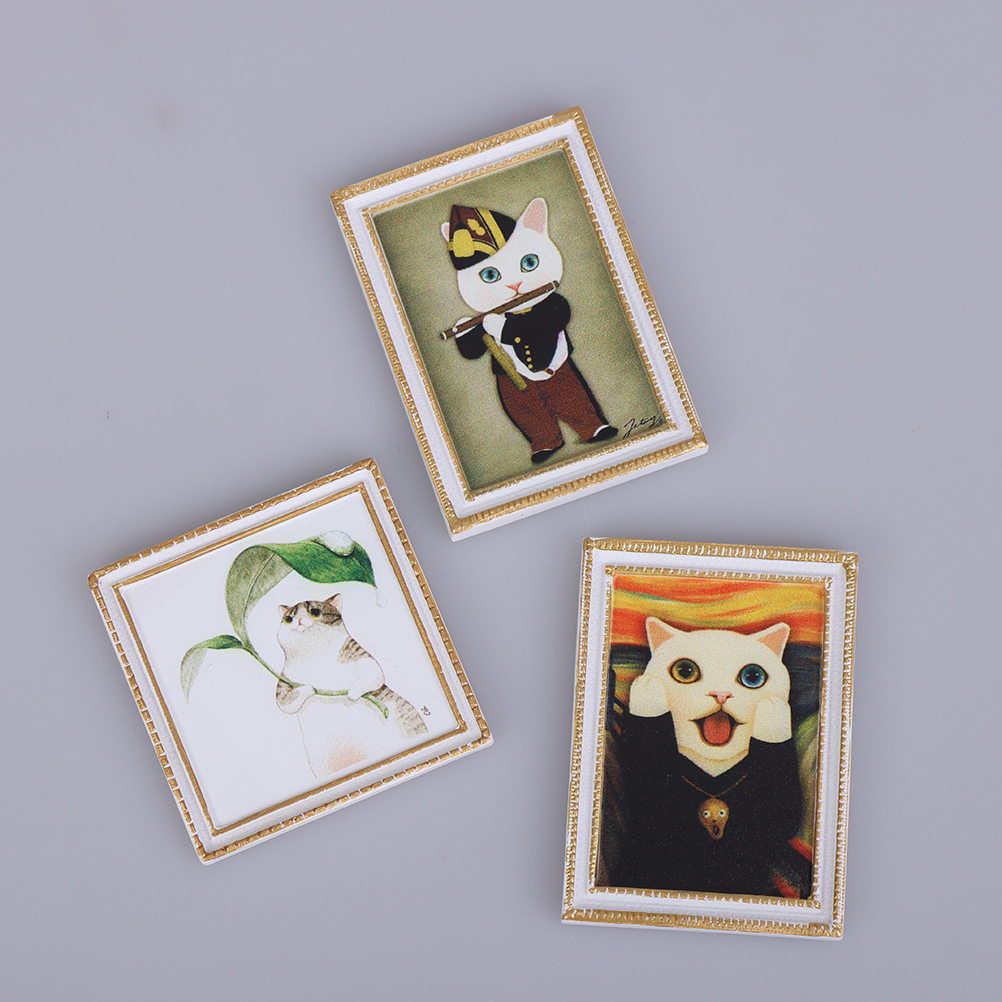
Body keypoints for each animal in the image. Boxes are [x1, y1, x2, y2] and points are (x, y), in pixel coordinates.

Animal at [274, 594, 427, 780]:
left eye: (315, 612)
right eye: (289, 619)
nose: (299, 621)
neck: (314, 655)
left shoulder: (365, 661)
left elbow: (373, 675)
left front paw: (352, 694)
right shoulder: (284, 684)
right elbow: (285, 703)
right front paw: (310, 688)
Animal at [443, 198, 617, 463]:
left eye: (529, 263)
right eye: (490, 275)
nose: (515, 286)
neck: (519, 308)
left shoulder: (556, 306)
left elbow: (533, 326)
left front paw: (491, 321)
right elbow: (472, 350)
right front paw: (462, 325)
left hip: (564, 378)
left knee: (574, 401)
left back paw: (599, 431)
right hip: (515, 394)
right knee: (532, 416)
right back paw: (544, 449)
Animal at [611, 619, 806, 896]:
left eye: (753, 676)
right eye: (684, 671)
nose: (721, 694)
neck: (713, 771)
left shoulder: (774, 813)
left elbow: (783, 815)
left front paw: (773, 709)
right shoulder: (647, 802)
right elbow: (648, 791)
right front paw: (648, 689)